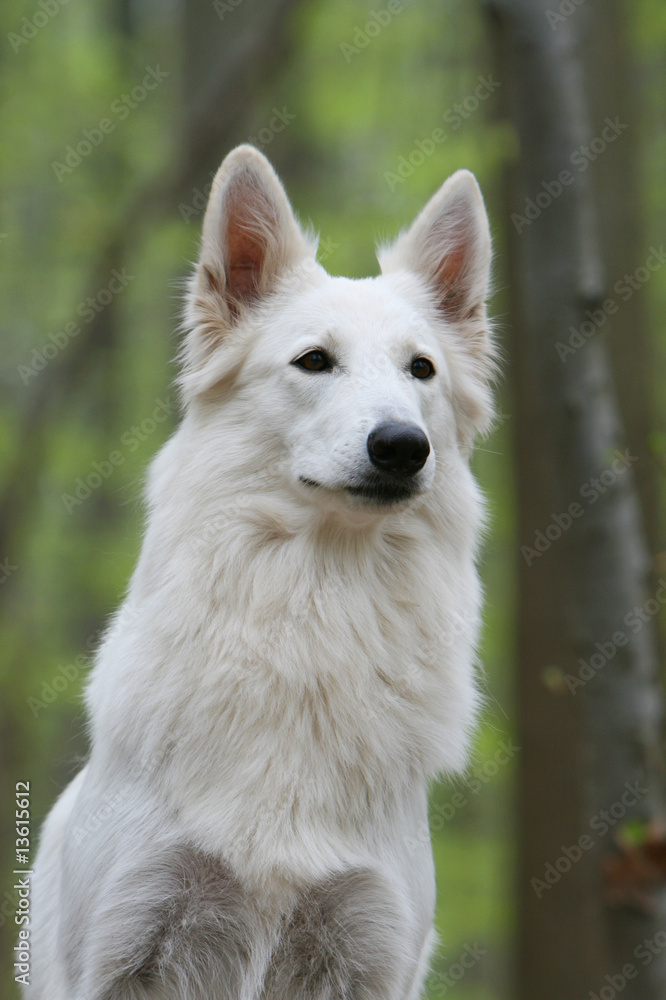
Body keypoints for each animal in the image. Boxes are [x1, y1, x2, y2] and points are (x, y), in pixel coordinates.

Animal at [26, 143, 492, 1000]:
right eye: (314, 361)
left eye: (422, 370)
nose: (403, 447)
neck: (315, 605)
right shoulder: (124, 948)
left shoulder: (370, 953)